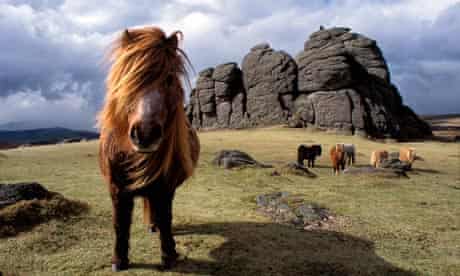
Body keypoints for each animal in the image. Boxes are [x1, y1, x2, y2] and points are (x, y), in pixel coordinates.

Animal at [99, 26, 199, 272]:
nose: (145, 134)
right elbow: (120, 223)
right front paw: (119, 260)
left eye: (169, 78)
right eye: (128, 77)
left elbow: (166, 218)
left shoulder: (166, 188)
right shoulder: (117, 189)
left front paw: (169, 255)